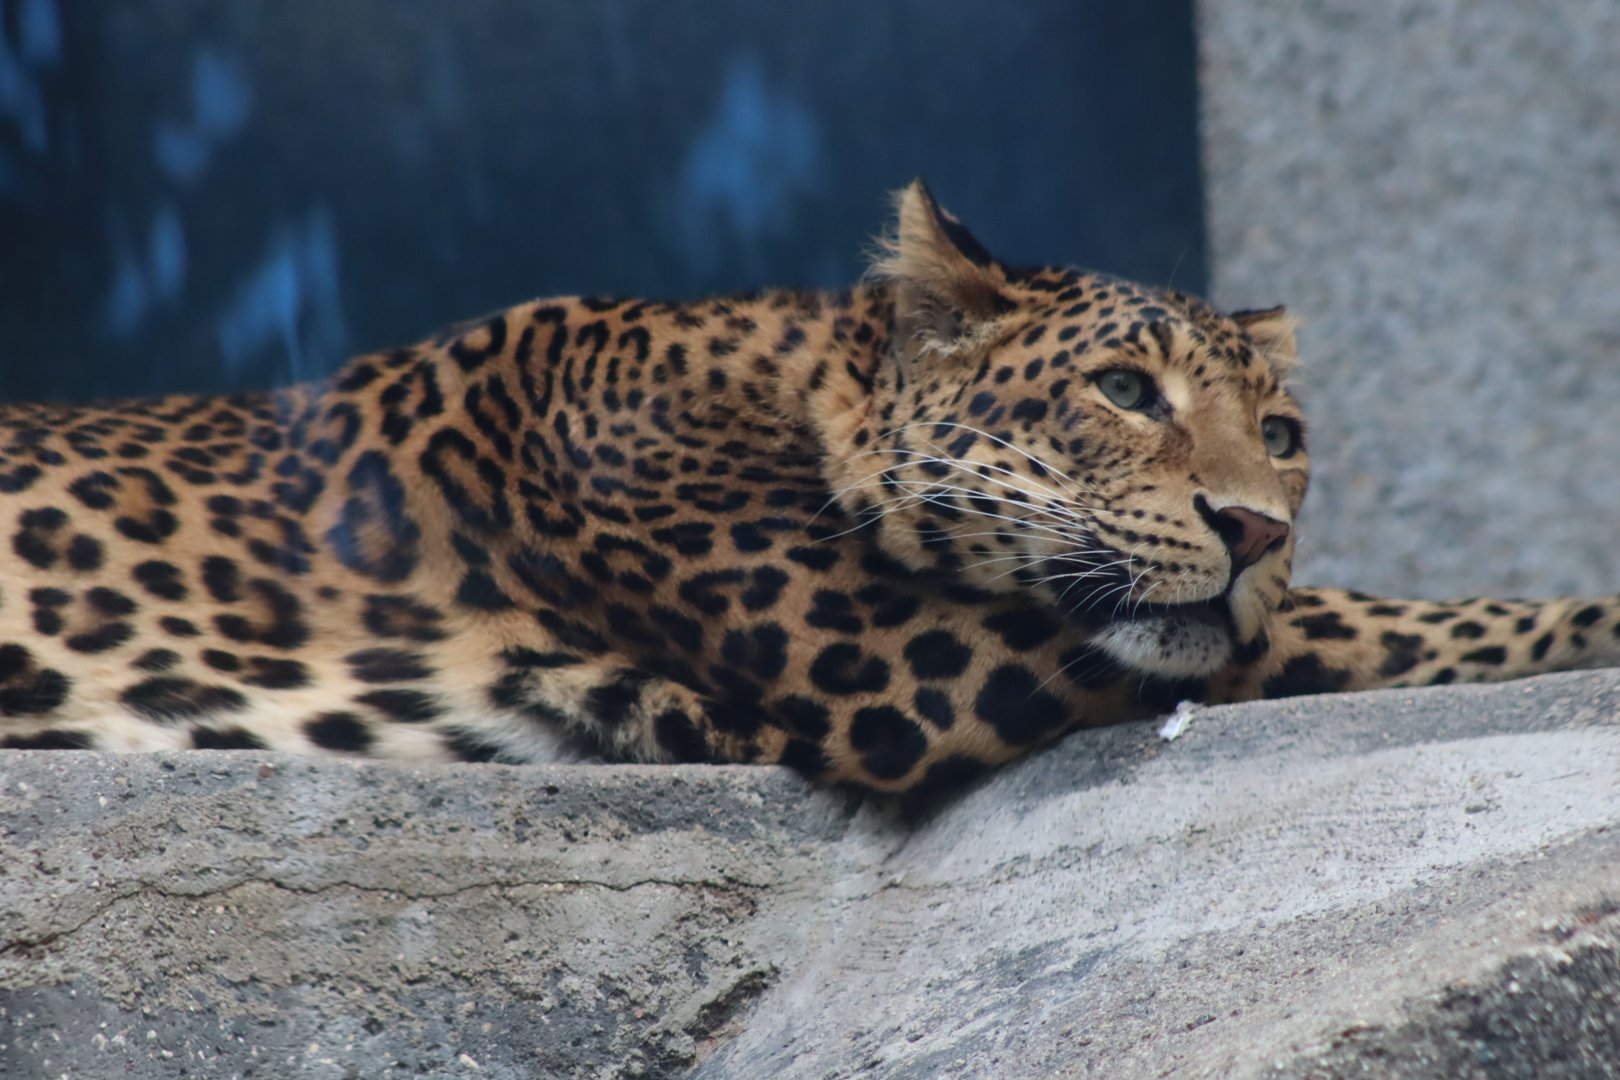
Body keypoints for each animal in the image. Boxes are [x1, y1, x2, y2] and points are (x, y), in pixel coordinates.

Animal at [2, 179, 1617, 795]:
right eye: (1124, 392)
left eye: (1281, 434)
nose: (1255, 524)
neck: (795, 381)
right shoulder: (904, 659)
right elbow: (1354, 622)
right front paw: (1591, 617)